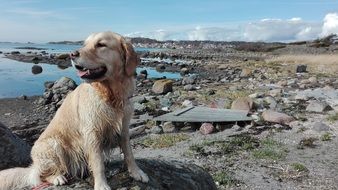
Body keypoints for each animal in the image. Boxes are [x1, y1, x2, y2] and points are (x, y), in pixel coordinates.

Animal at [0, 31, 149, 190]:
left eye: (101, 44)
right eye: (85, 44)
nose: (72, 54)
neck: (110, 95)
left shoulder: (124, 127)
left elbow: (129, 153)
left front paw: (137, 172)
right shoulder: (92, 132)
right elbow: (98, 163)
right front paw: (101, 184)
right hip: (54, 145)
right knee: (41, 176)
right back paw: (57, 177)